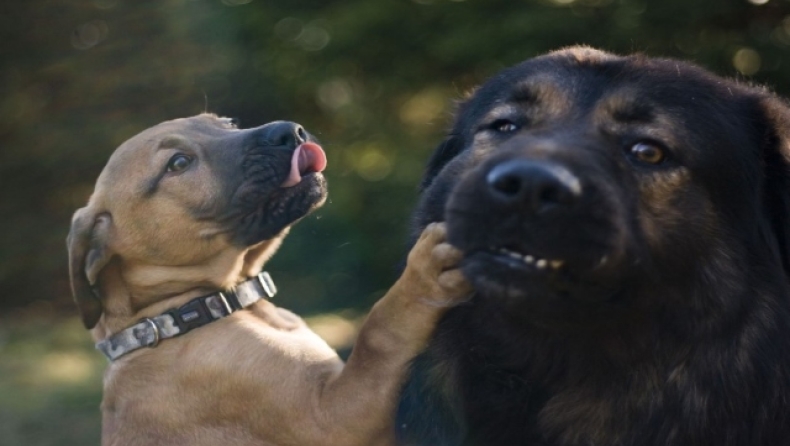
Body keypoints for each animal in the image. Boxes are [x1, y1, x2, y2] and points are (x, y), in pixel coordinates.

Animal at [66, 115, 470, 446]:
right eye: (178, 164)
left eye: (226, 123)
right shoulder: (333, 419)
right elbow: (378, 332)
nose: (291, 132)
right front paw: (421, 277)